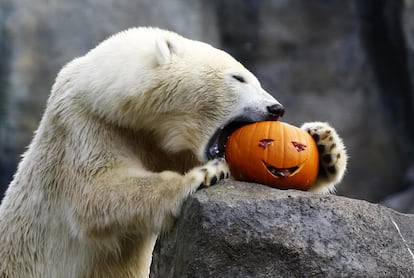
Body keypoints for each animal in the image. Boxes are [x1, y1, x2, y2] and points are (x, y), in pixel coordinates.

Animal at [0, 26, 346, 278]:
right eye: (239, 77)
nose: (277, 108)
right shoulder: (85, 123)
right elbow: (97, 191)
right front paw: (205, 176)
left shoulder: (169, 146)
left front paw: (325, 144)